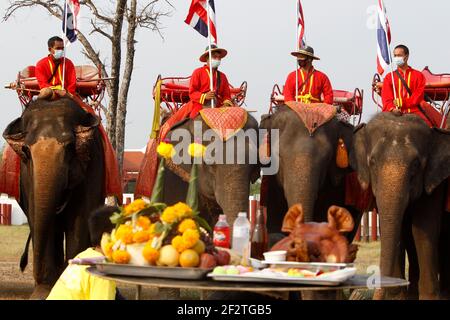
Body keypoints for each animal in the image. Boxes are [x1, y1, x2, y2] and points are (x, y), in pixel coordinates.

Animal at [2, 97, 105, 298]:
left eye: (70, 146)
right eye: (26, 150)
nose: (25, 267)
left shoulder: (92, 167)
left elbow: (80, 220)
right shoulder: (27, 178)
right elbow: (38, 216)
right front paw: (43, 292)